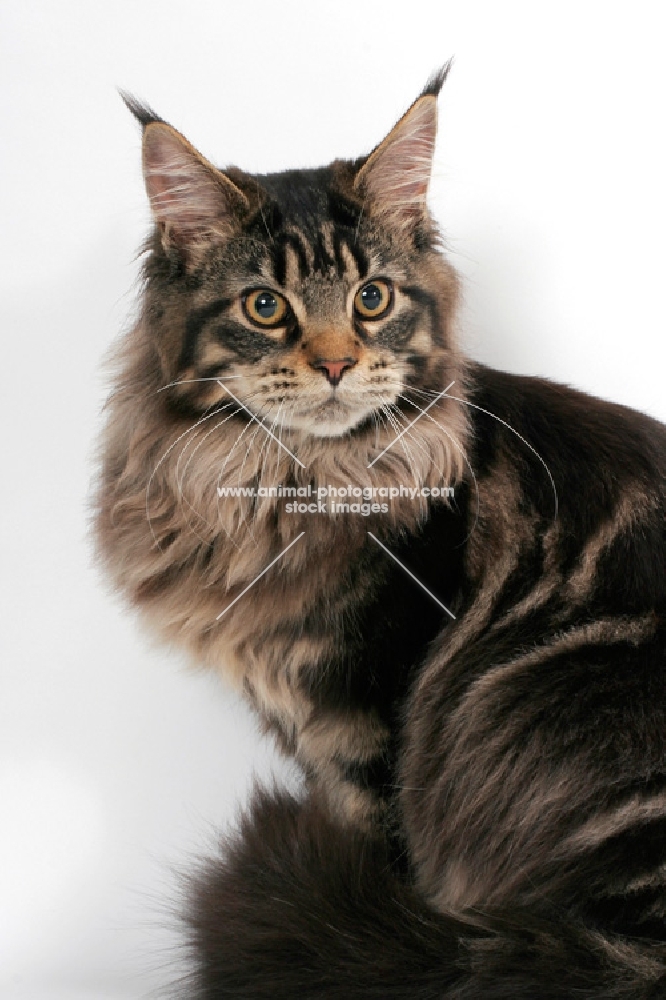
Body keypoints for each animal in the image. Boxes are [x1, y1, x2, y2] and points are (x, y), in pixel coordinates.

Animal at [94, 66, 664, 996]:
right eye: (266, 307)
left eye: (372, 297)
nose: (334, 363)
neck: (288, 487)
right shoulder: (303, 725)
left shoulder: (364, 715)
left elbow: (381, 860)